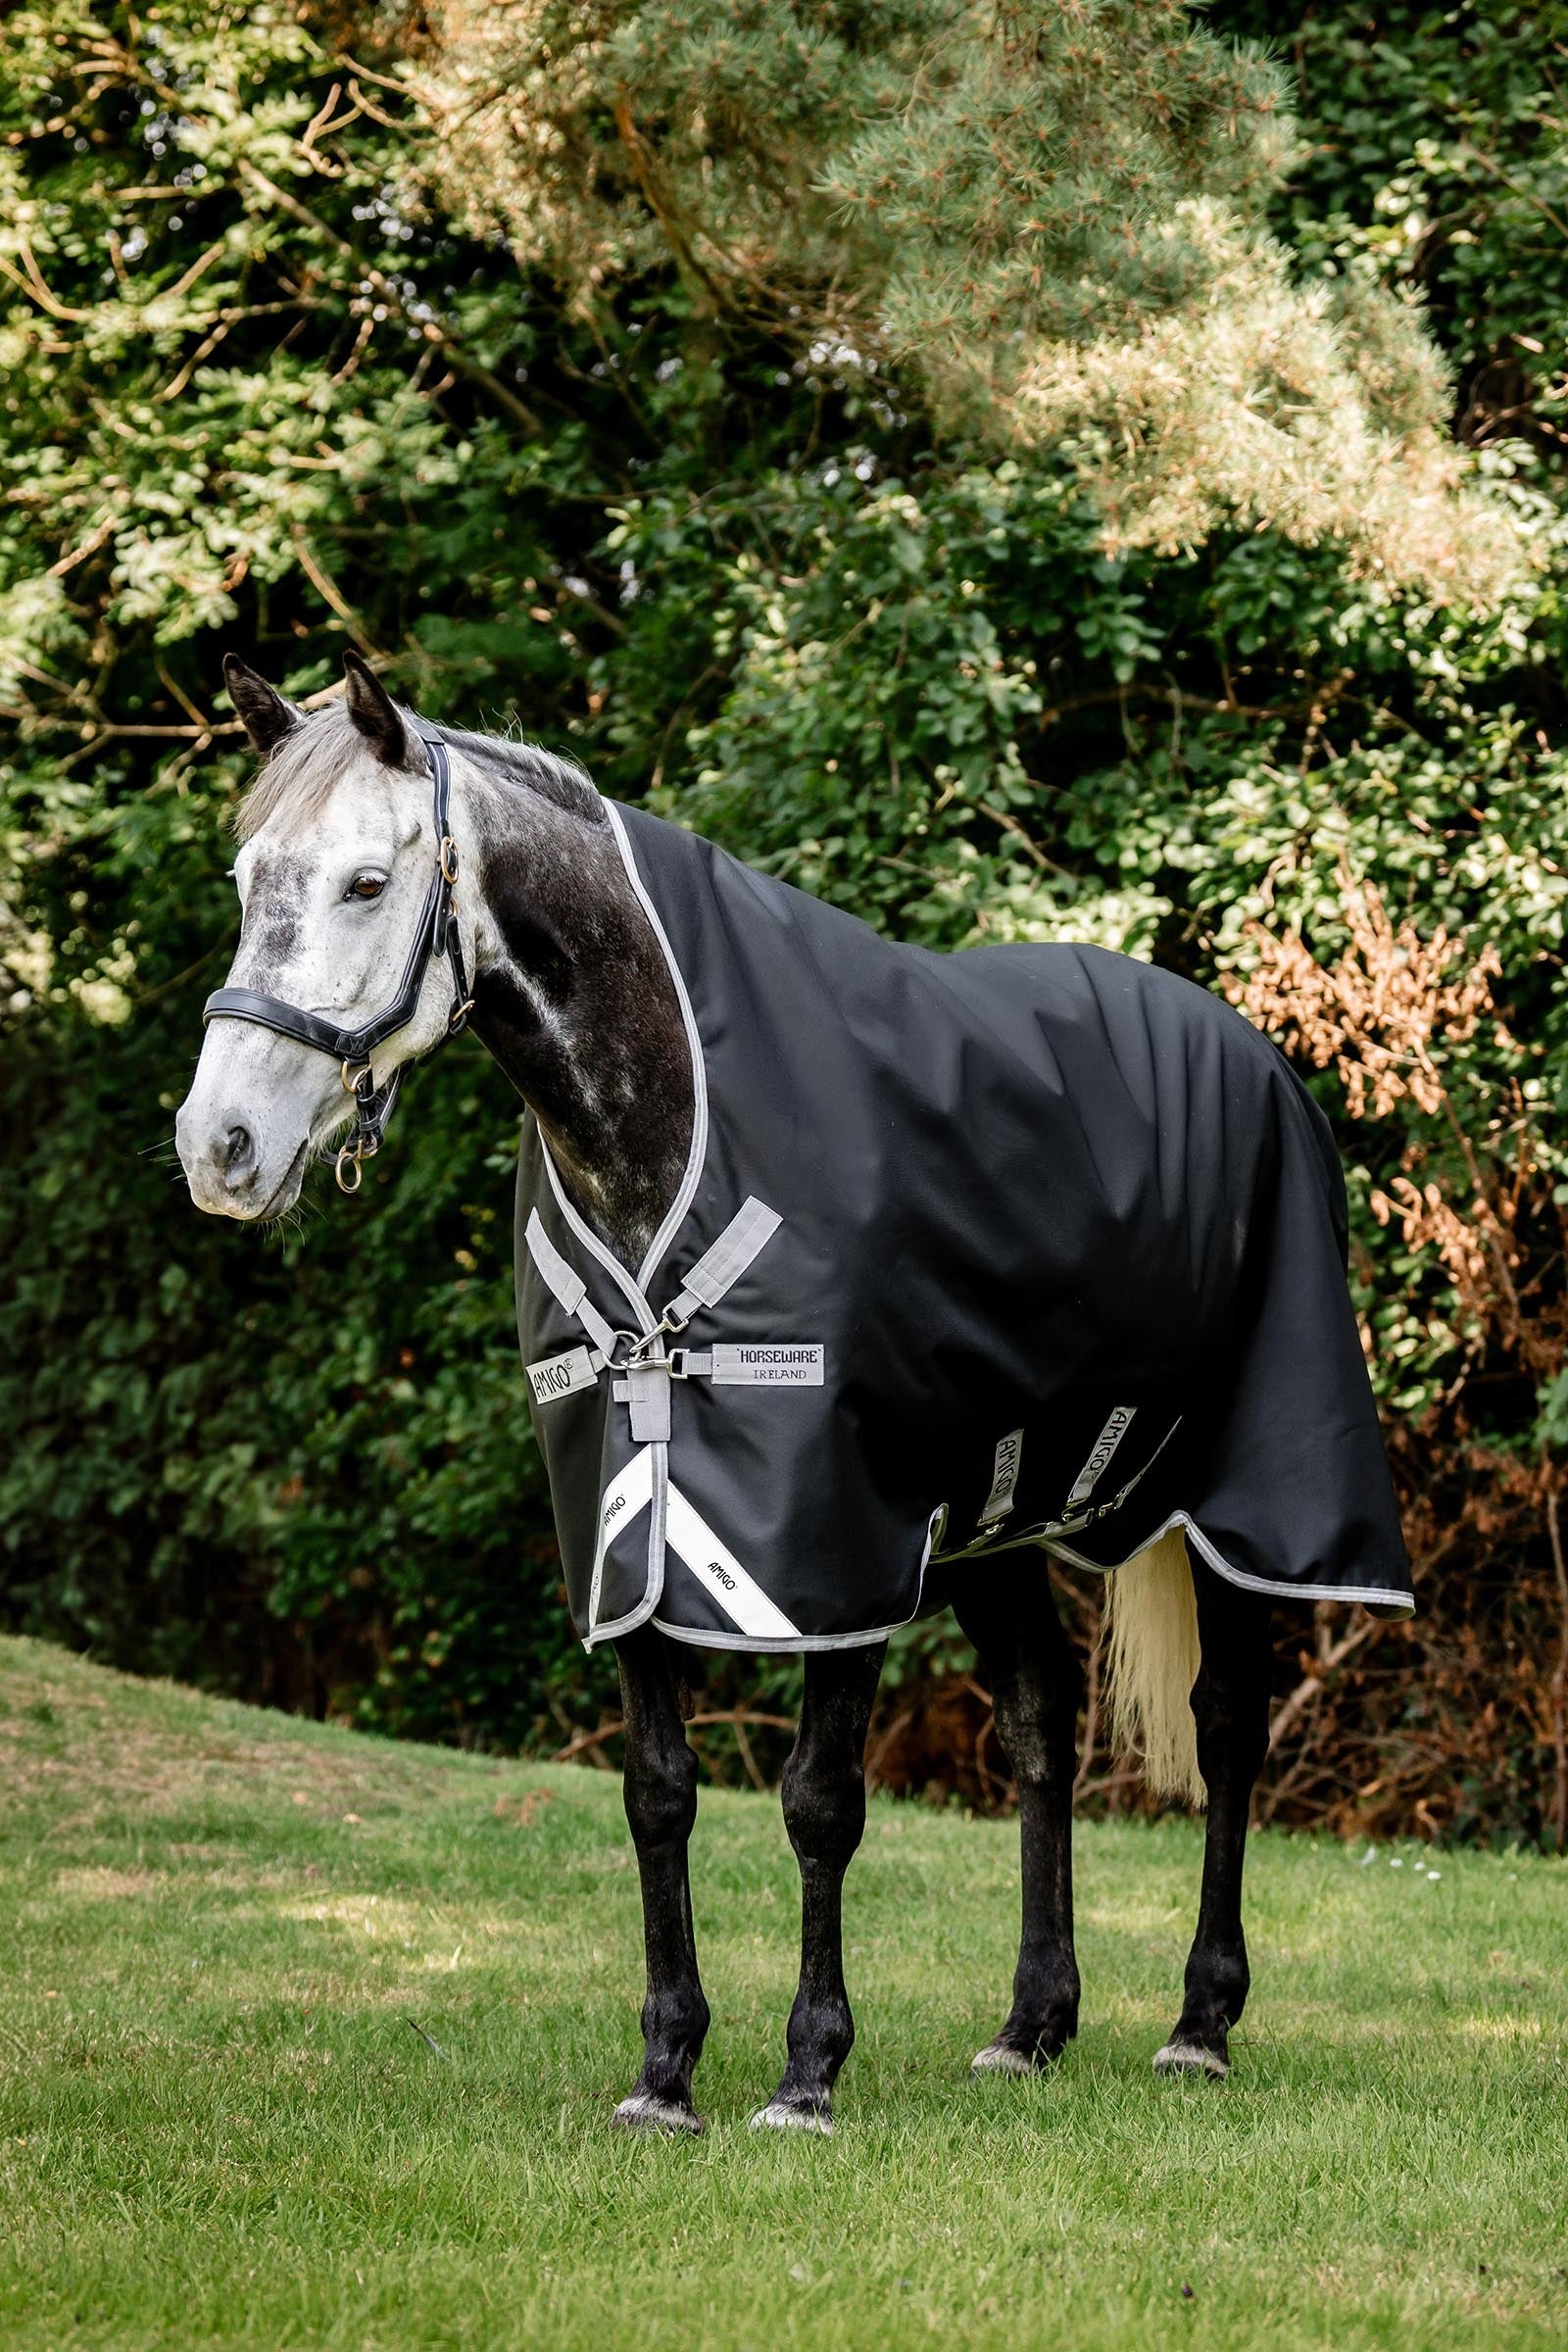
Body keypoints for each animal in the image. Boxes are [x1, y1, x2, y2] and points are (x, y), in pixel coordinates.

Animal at [176, 649, 1411, 2134]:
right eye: (246, 877)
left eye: (367, 881)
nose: (219, 1146)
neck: (669, 1122)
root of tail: (1250, 1051)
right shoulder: (629, 1520)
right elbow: (658, 1793)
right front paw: (664, 2072)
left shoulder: (835, 1538)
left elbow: (822, 1800)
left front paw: (808, 2070)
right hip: (994, 1514)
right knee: (1042, 1725)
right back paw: (1031, 2026)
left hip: (1237, 1500)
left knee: (1226, 1727)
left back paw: (1199, 2023)